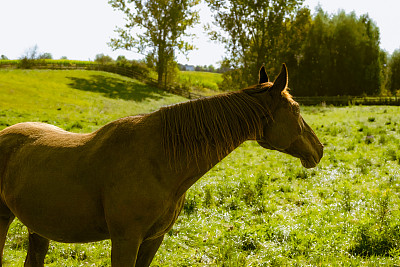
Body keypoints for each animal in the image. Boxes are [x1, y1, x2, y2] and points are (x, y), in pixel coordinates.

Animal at [0, 64, 322, 266]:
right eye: (296, 109)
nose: (319, 150)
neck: (159, 162)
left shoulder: (153, 240)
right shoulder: (125, 241)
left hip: (38, 227)